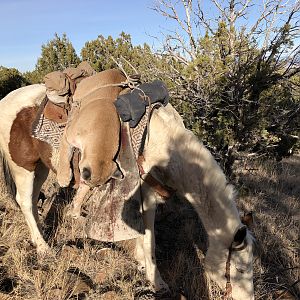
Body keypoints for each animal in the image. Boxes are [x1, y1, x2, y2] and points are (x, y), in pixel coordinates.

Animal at [0, 83, 255, 298]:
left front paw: (141, 261)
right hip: (23, 167)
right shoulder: (146, 199)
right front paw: (157, 281)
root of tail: (6, 99)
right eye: (240, 269)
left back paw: (41, 236)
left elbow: (142, 235)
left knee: (33, 200)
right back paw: (44, 249)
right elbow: (149, 240)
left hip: (41, 167)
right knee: (25, 201)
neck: (165, 146)